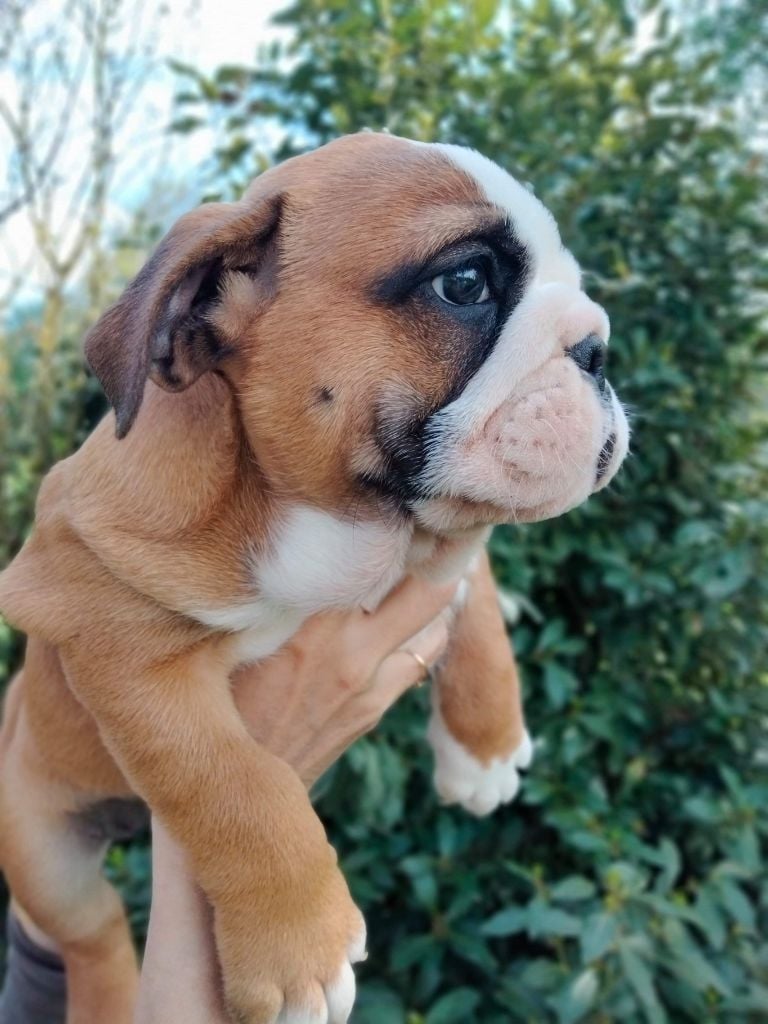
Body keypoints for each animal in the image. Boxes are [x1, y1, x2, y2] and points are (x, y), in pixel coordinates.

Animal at [0, 132, 628, 1024]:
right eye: (465, 283)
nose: (601, 347)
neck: (339, 529)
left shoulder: (443, 540)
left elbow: (472, 592)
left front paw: (485, 746)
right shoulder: (107, 637)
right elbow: (231, 780)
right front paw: (297, 947)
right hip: (42, 847)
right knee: (93, 936)